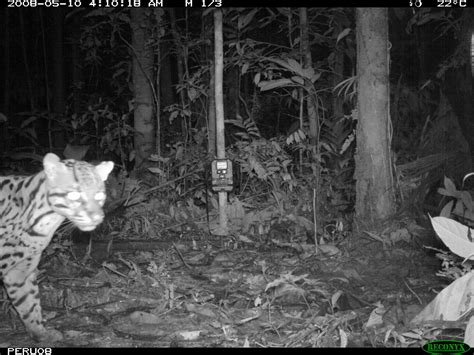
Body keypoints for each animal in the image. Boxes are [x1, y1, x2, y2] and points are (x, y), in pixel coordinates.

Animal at [0, 154, 114, 344]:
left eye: (99, 195)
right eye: (74, 194)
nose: (97, 217)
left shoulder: (20, 271)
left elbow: (29, 302)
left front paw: (40, 333)